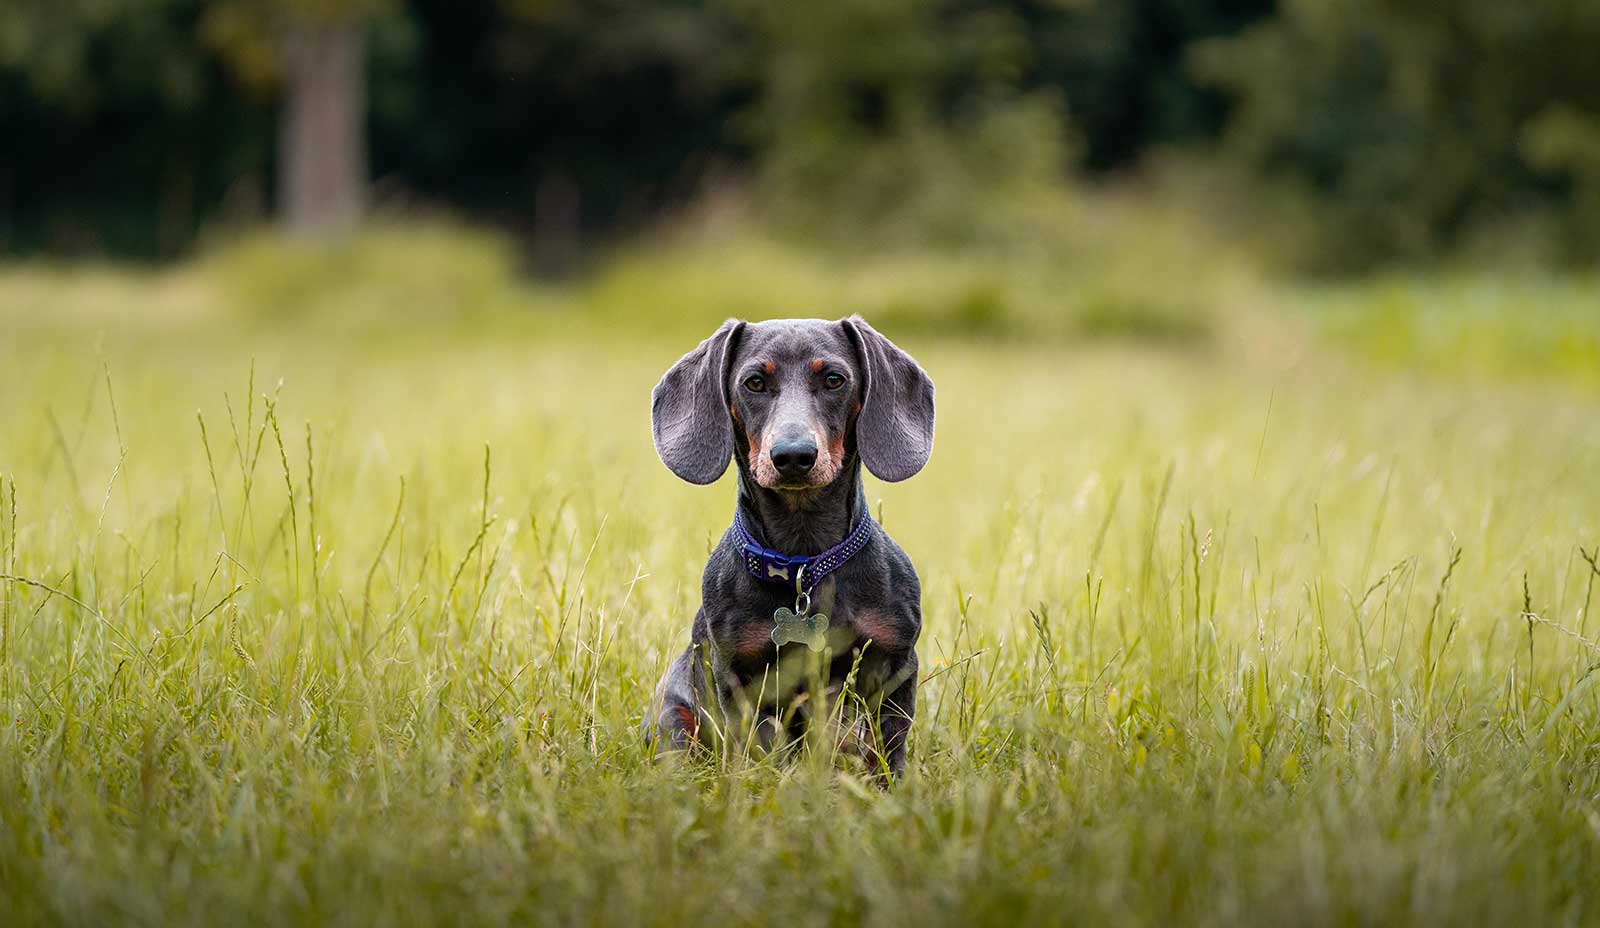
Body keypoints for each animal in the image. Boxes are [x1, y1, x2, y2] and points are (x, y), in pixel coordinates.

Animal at [643, 315, 934, 780]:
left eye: (834, 379)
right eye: (754, 382)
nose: (794, 456)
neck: (805, 564)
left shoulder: (896, 664)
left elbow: (887, 750)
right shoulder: (740, 679)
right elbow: (761, 749)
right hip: (675, 718)